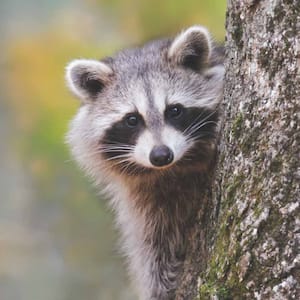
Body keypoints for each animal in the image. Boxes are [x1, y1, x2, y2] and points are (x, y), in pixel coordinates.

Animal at [66, 26, 225, 300]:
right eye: (132, 119)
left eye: (174, 110)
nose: (161, 155)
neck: (175, 169)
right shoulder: (144, 198)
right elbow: (152, 245)